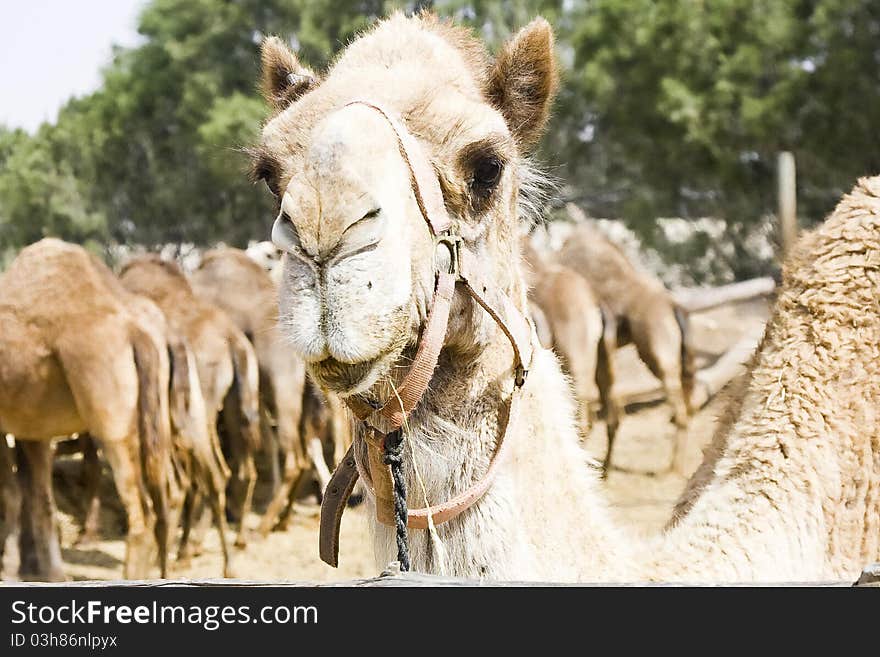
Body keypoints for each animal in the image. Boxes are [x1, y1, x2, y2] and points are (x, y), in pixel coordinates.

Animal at [0, 238, 171, 576]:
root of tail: (134, 331)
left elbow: (11, 493)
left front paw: (11, 570)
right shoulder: (32, 426)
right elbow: (37, 498)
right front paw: (51, 574)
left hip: (109, 409)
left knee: (141, 510)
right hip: (153, 411)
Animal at [120, 256, 260, 560]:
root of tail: (233, 342)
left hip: (196, 414)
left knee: (205, 476)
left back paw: (186, 549)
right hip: (232, 406)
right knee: (235, 470)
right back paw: (234, 541)